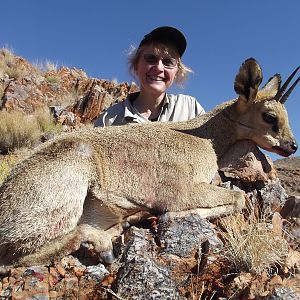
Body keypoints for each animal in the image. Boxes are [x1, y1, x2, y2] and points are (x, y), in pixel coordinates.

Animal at [0, 58, 296, 268]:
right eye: (270, 116)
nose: (292, 145)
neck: (204, 136)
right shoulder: (182, 191)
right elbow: (238, 199)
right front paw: (170, 215)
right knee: (15, 259)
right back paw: (106, 244)